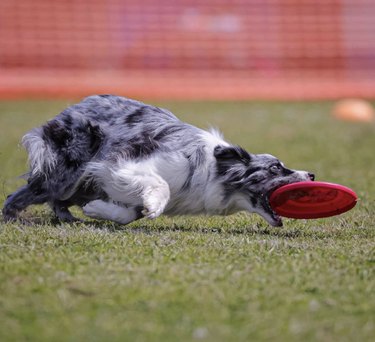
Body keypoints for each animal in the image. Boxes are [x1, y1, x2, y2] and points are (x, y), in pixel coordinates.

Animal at [2, 95, 314, 226]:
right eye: (275, 167)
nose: (311, 175)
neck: (211, 171)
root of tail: (74, 106)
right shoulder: (120, 163)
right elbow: (158, 186)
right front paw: (154, 204)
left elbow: (129, 214)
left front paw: (97, 211)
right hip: (67, 174)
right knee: (21, 194)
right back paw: (11, 217)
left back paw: (67, 216)